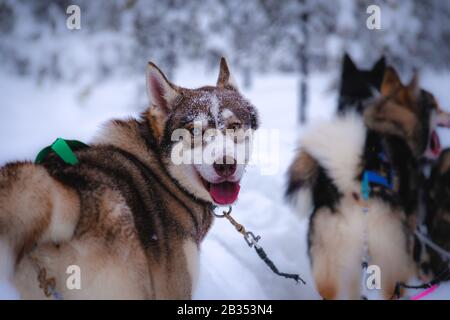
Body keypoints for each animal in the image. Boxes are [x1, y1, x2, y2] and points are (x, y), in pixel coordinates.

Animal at [286, 66, 450, 298]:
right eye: (435, 105)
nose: (449, 115)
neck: (390, 122)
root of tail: (357, 185)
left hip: (332, 263)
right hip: (391, 259)